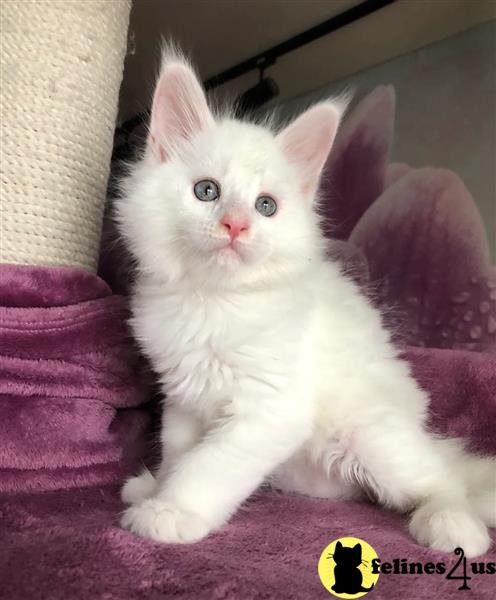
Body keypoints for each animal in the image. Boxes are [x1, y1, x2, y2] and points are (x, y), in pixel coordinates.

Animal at [116, 49, 492, 556]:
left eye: (266, 206)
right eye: (207, 191)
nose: (236, 225)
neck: (214, 301)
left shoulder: (271, 407)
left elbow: (209, 464)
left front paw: (172, 512)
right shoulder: (184, 398)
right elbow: (179, 454)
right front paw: (158, 487)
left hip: (372, 432)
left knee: (443, 480)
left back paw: (453, 524)